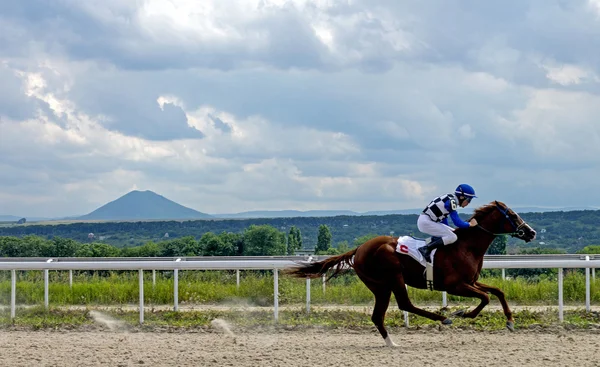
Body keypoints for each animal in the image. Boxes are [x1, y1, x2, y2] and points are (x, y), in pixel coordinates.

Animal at [284, 201, 536, 348]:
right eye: (512, 215)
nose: (531, 232)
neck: (466, 246)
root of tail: (359, 248)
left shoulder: (470, 281)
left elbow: (498, 292)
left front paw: (510, 321)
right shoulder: (455, 285)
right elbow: (485, 298)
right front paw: (463, 313)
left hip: (380, 286)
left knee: (379, 315)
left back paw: (391, 343)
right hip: (392, 277)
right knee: (405, 304)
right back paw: (444, 318)